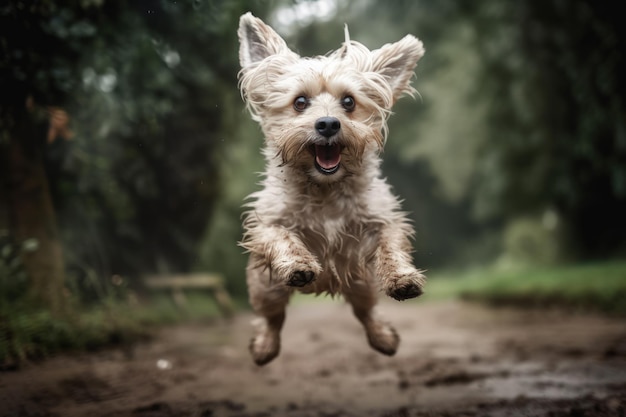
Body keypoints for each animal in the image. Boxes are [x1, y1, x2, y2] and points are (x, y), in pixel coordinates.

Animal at [236, 12, 426, 364]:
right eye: (300, 102)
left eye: (348, 101)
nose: (327, 124)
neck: (325, 189)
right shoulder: (268, 223)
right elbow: (282, 237)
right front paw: (298, 264)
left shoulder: (381, 220)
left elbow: (391, 246)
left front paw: (401, 277)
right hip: (266, 288)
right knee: (272, 317)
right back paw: (265, 346)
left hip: (362, 284)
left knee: (366, 312)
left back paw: (383, 338)